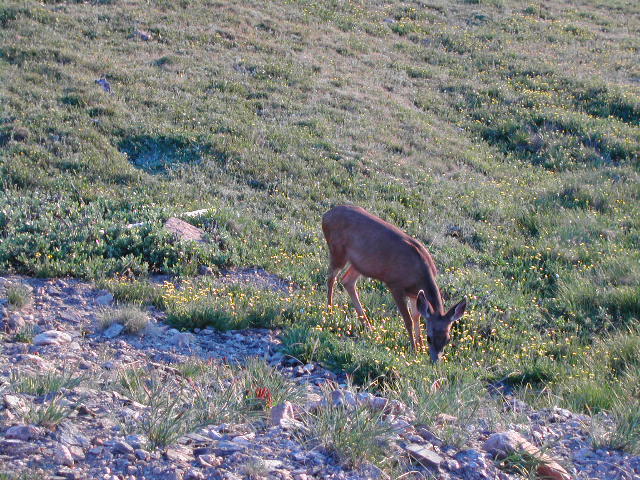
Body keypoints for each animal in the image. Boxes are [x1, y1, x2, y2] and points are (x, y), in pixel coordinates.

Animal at [322, 204, 468, 362]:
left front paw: (420, 347)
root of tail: (326, 215)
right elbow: (408, 319)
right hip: (337, 251)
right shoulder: (395, 285)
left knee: (347, 281)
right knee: (331, 278)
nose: (435, 361)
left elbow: (417, 317)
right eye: (430, 338)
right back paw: (329, 311)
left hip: (361, 264)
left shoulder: (415, 294)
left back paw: (368, 326)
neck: (419, 274)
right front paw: (415, 349)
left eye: (448, 339)